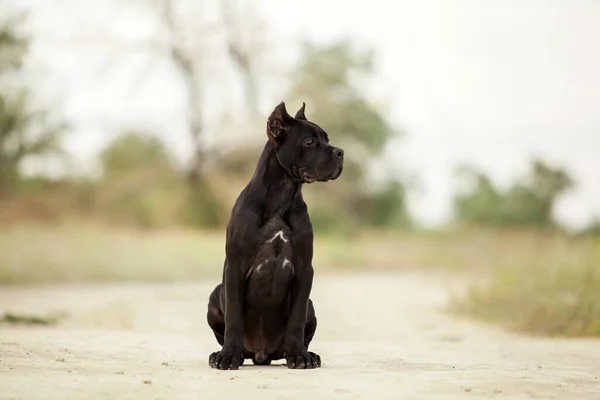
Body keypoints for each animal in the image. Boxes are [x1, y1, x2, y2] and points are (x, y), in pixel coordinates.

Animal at [209, 101, 344, 370]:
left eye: (327, 139)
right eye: (310, 142)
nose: (340, 152)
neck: (283, 194)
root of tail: (261, 354)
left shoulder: (304, 269)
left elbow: (296, 319)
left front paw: (299, 355)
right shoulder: (235, 266)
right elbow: (233, 318)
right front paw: (228, 356)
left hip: (311, 306)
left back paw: (308, 354)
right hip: (215, 295)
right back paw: (223, 353)